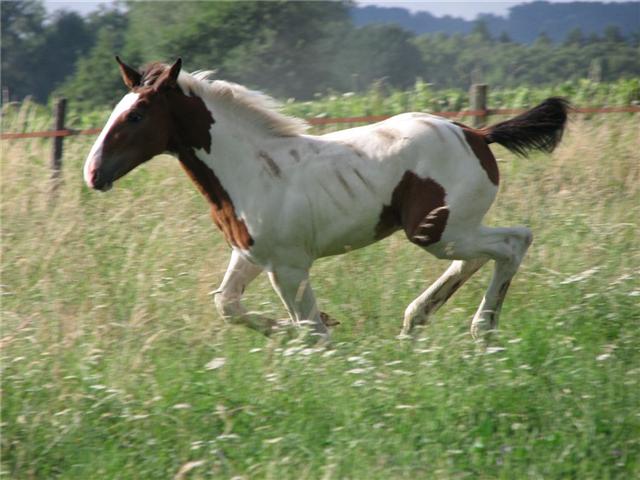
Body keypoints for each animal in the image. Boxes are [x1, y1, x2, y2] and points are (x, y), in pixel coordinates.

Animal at [82, 58, 568, 342]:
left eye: (136, 114)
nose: (92, 173)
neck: (252, 169)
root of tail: (477, 134)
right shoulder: (251, 256)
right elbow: (228, 305)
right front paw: (295, 328)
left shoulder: (289, 267)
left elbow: (312, 331)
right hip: (450, 231)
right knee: (479, 257)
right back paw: (416, 320)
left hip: (438, 232)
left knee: (513, 242)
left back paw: (481, 328)